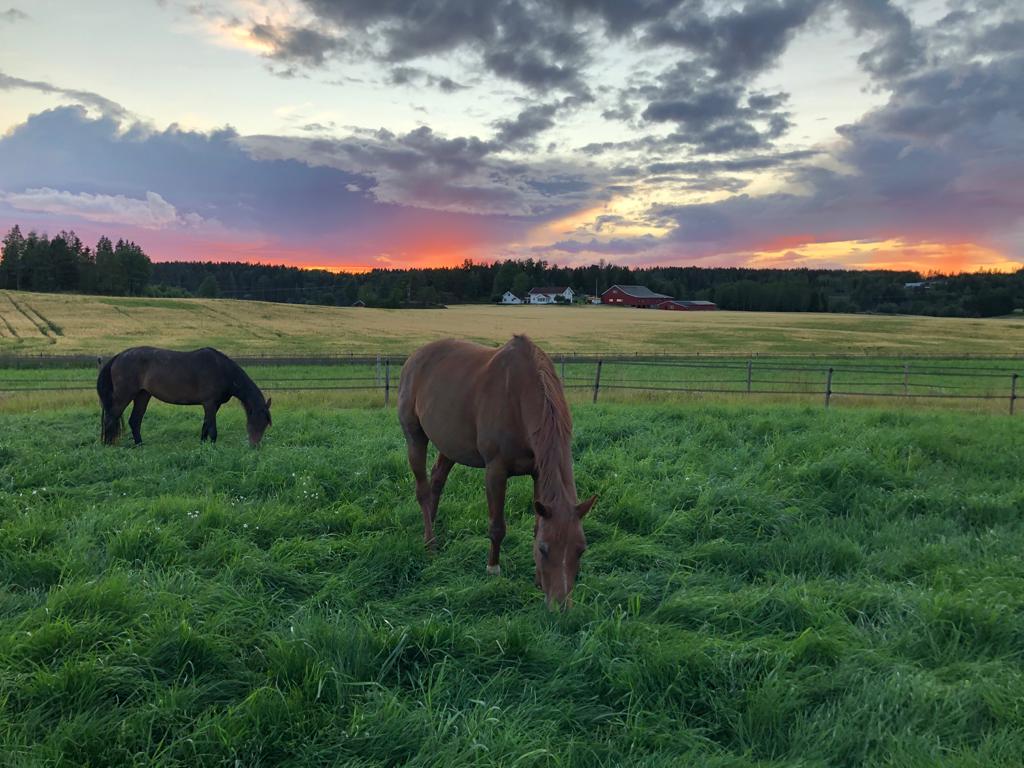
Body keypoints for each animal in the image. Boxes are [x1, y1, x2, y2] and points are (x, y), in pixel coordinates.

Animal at [97, 347, 272, 446]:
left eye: (265, 425)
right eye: (256, 422)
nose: (255, 446)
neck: (223, 370)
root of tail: (119, 356)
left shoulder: (213, 405)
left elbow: (205, 426)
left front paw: (203, 445)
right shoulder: (210, 403)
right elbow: (212, 428)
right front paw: (212, 447)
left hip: (142, 395)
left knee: (134, 421)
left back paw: (139, 445)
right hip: (124, 395)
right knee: (111, 418)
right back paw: (108, 444)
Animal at [398, 335, 596, 610]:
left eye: (581, 549)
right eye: (544, 549)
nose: (560, 606)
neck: (519, 396)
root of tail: (414, 357)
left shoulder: (538, 473)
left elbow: (537, 524)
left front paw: (537, 580)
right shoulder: (495, 471)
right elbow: (497, 526)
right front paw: (493, 569)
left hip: (450, 445)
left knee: (437, 481)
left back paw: (432, 522)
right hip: (414, 437)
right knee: (423, 489)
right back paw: (430, 543)